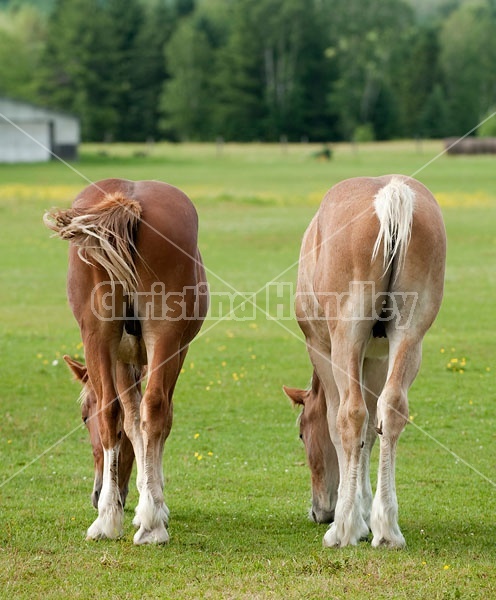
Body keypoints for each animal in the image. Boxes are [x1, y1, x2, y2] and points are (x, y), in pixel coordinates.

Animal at [45, 178, 209, 544]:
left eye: (82, 417)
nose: (94, 495)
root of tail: (128, 200)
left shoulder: (144, 356)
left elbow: (134, 424)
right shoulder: (159, 354)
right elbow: (141, 423)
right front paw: (153, 502)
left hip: (105, 337)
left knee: (124, 409)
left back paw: (115, 520)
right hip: (147, 336)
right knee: (147, 408)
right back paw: (141, 522)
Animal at [282, 175, 446, 548]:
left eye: (301, 434)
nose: (319, 511)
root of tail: (392, 194)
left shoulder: (323, 349)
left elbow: (339, 424)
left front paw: (352, 515)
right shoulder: (374, 359)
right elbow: (374, 430)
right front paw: (368, 511)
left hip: (346, 339)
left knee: (351, 415)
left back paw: (342, 529)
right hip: (409, 339)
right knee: (392, 409)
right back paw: (388, 528)